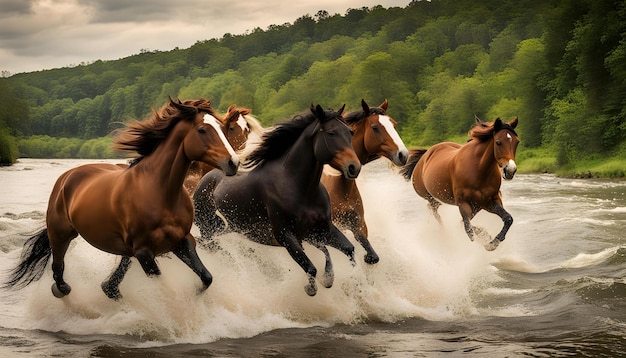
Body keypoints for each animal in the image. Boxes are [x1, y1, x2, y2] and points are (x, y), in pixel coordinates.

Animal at [4, 96, 239, 300]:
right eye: (202, 130)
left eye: (222, 128)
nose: (233, 162)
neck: (159, 192)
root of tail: (67, 177)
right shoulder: (144, 252)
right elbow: (163, 287)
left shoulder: (182, 240)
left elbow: (206, 277)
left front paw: (193, 294)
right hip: (60, 234)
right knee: (58, 270)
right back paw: (66, 291)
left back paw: (110, 289)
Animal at [195, 103, 360, 296]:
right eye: (331, 133)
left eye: (350, 132)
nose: (353, 167)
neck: (300, 188)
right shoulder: (285, 235)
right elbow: (310, 267)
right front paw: (312, 288)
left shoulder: (322, 229)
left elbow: (349, 249)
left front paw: (343, 281)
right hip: (209, 230)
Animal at [320, 99, 408, 264]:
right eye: (375, 128)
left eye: (394, 125)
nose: (403, 155)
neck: (337, 182)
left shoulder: (358, 225)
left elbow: (371, 255)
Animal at [398, 116, 520, 250]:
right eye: (498, 142)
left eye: (517, 142)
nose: (511, 170)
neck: (479, 170)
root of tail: (425, 154)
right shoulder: (463, 203)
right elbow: (468, 229)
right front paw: (485, 237)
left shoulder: (489, 202)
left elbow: (508, 219)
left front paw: (492, 242)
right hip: (430, 197)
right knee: (436, 214)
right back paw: (444, 233)